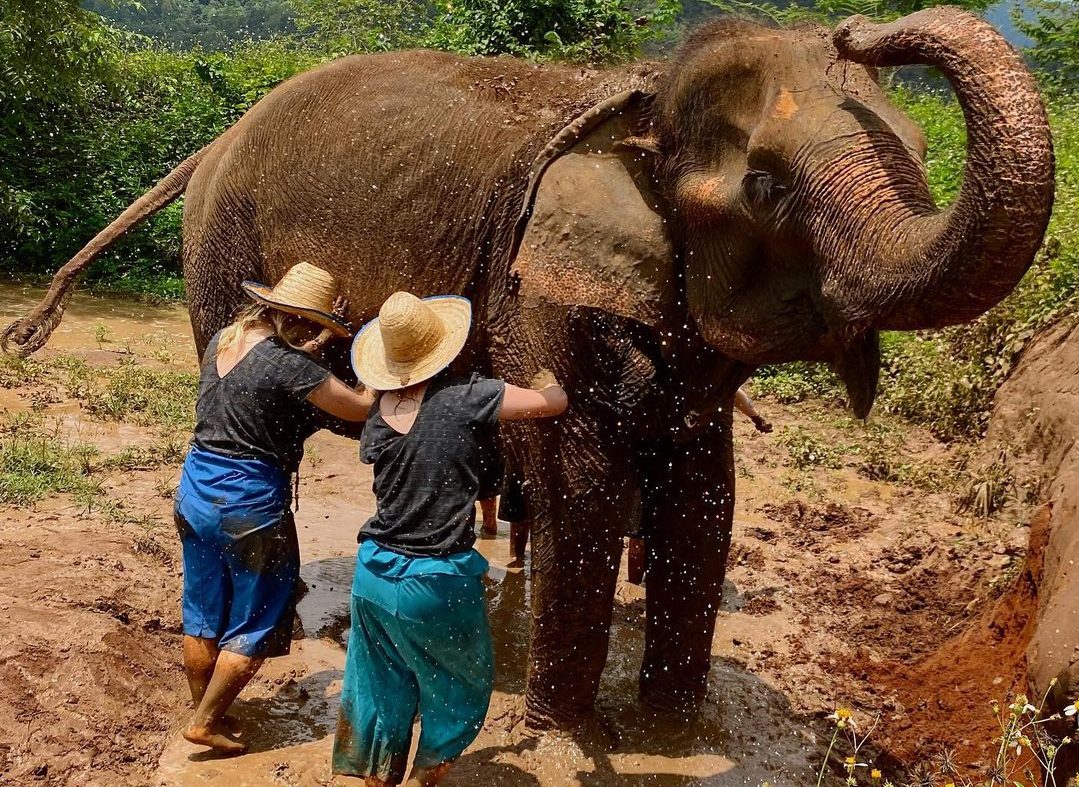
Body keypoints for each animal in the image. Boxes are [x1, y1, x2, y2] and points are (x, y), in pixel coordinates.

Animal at [4, 7, 1053, 729]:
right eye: (763, 184)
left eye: (919, 152)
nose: (855, 26)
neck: (642, 97)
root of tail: (212, 142)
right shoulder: (536, 279)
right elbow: (583, 480)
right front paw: (563, 726)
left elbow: (704, 493)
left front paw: (672, 732)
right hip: (218, 253)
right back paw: (290, 622)